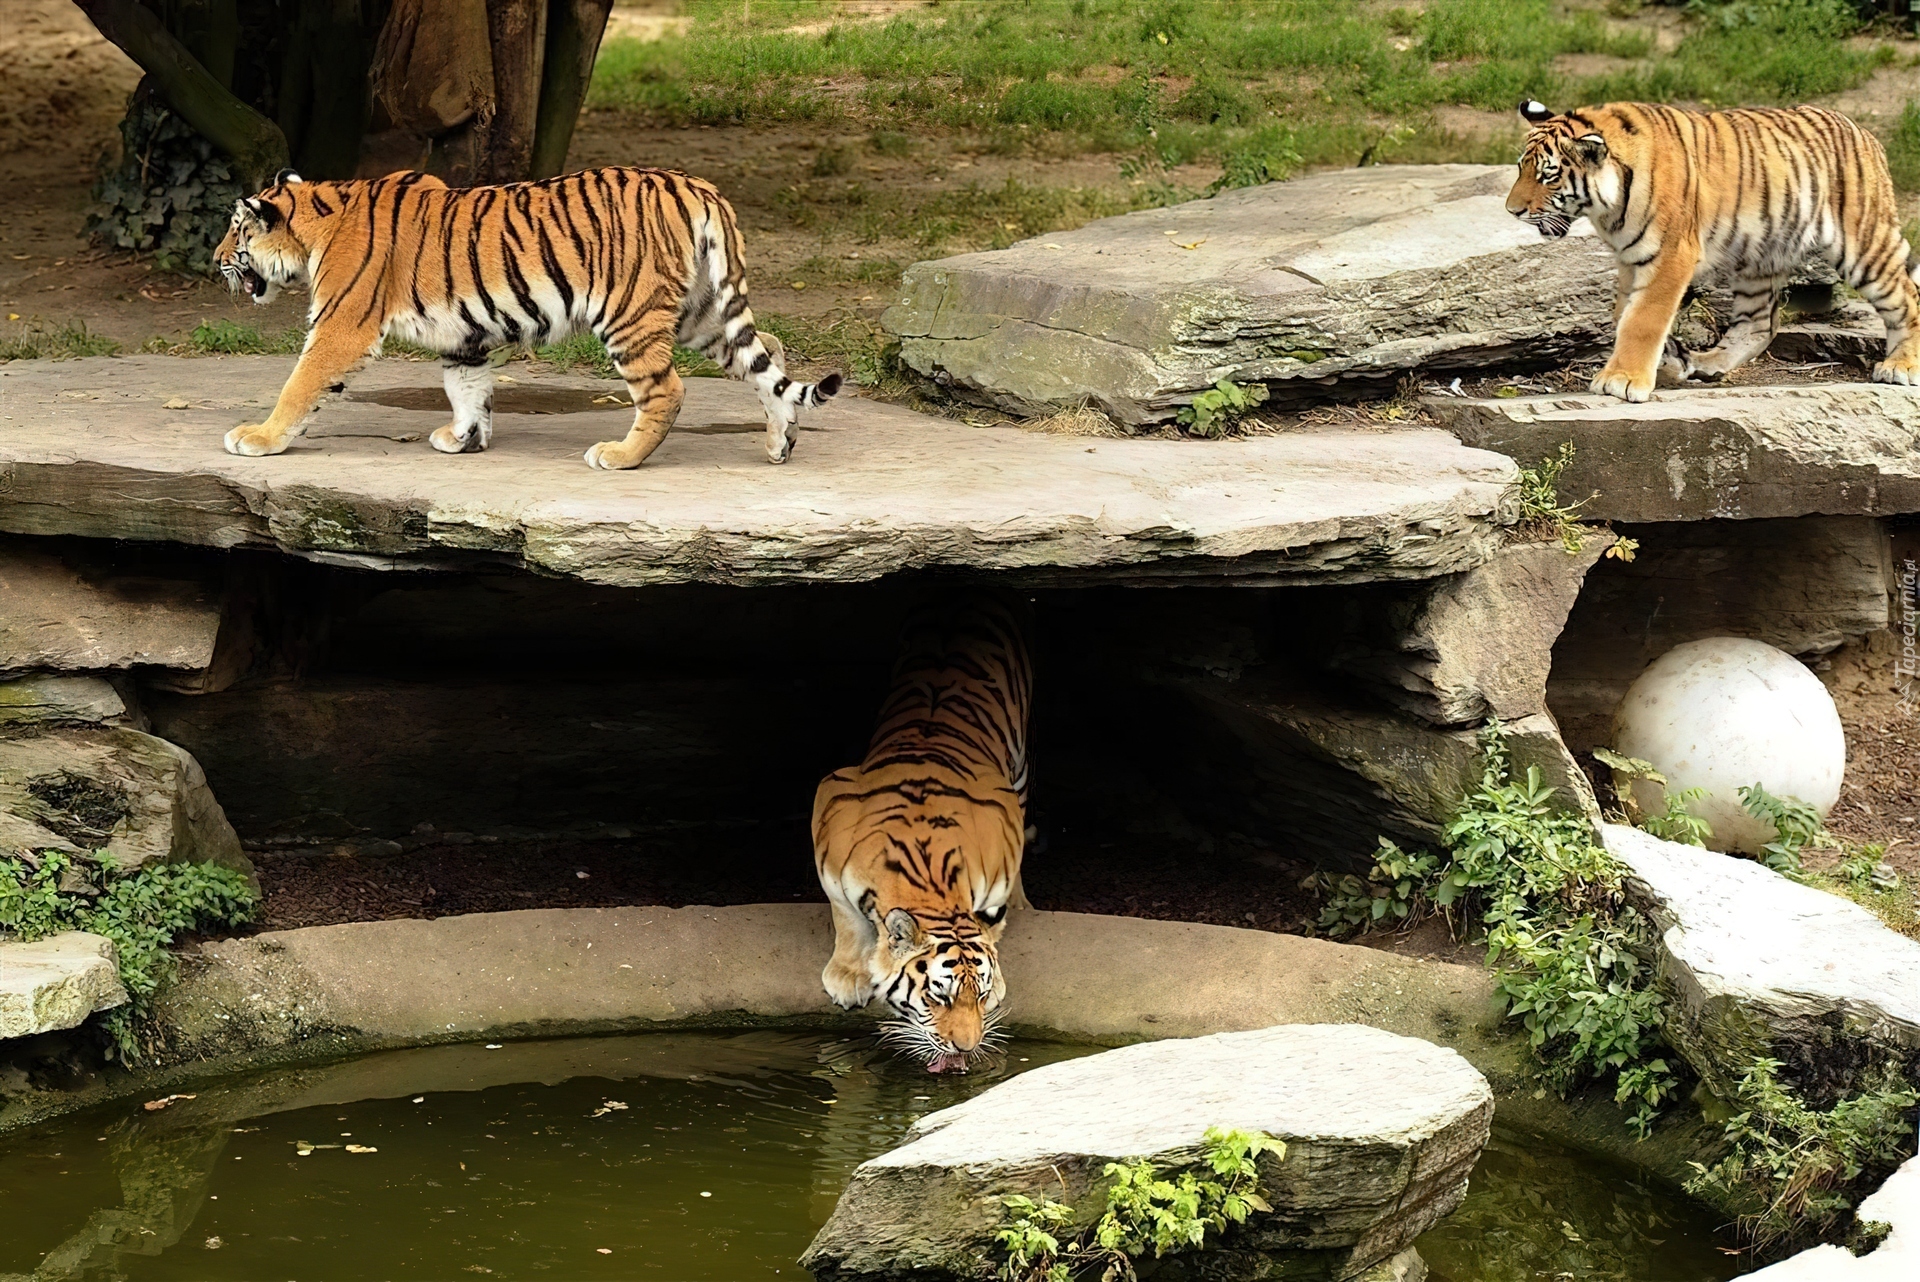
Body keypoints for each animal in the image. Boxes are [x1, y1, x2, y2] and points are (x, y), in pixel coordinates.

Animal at [212, 167, 840, 468]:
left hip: (630, 315)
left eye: (237, 233)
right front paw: (463, 439)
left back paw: (620, 457)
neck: (319, 220)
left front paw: (259, 438)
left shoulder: (340, 326)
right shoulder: (464, 336)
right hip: (700, 311)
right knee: (769, 352)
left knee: (667, 391)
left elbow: (299, 386)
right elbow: (467, 389)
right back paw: (780, 442)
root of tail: (697, 187)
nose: (215, 260)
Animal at [810, 594, 1036, 1074]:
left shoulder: (1003, 815)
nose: (967, 1048)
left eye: (980, 995)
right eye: (938, 996)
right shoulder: (830, 815)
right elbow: (846, 917)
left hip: (1020, 767)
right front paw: (847, 977)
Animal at [1505, 98, 1912, 401]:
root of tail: (1864, 133)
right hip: (1760, 255)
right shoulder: (1630, 258)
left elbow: (1643, 318)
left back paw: (1900, 367)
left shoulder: (1670, 253)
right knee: (1760, 324)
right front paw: (1671, 361)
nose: (1512, 211)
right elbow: (1623, 314)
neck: (1608, 208)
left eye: (1548, 175)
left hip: (1863, 245)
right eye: (1521, 168)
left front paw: (1622, 379)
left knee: (1907, 297)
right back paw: (1708, 362)